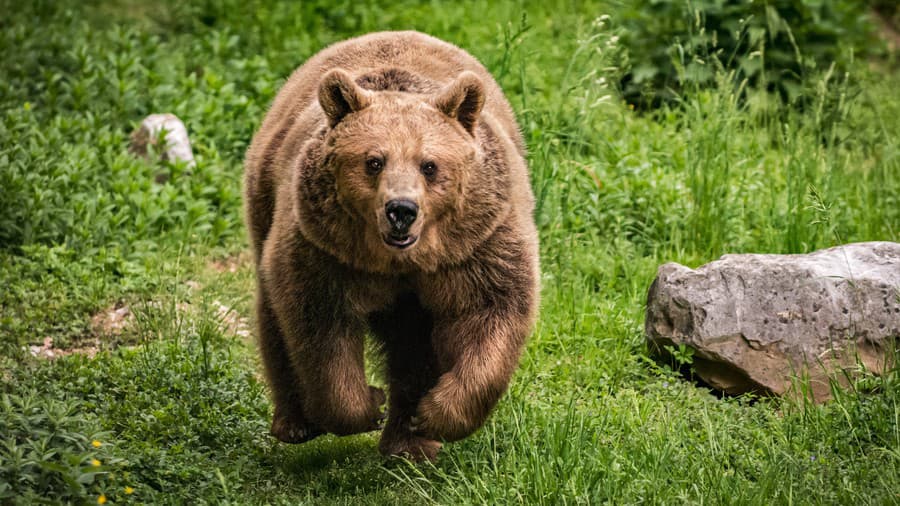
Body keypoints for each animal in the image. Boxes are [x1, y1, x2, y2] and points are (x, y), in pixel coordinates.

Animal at [244, 29, 540, 460]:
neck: (401, 261)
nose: (401, 210)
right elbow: (319, 326)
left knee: (414, 346)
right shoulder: (327, 251)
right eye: (374, 161)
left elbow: (491, 310)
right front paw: (369, 404)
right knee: (274, 317)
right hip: (267, 200)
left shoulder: (476, 246)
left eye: (429, 165)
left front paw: (433, 415)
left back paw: (410, 442)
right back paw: (296, 423)